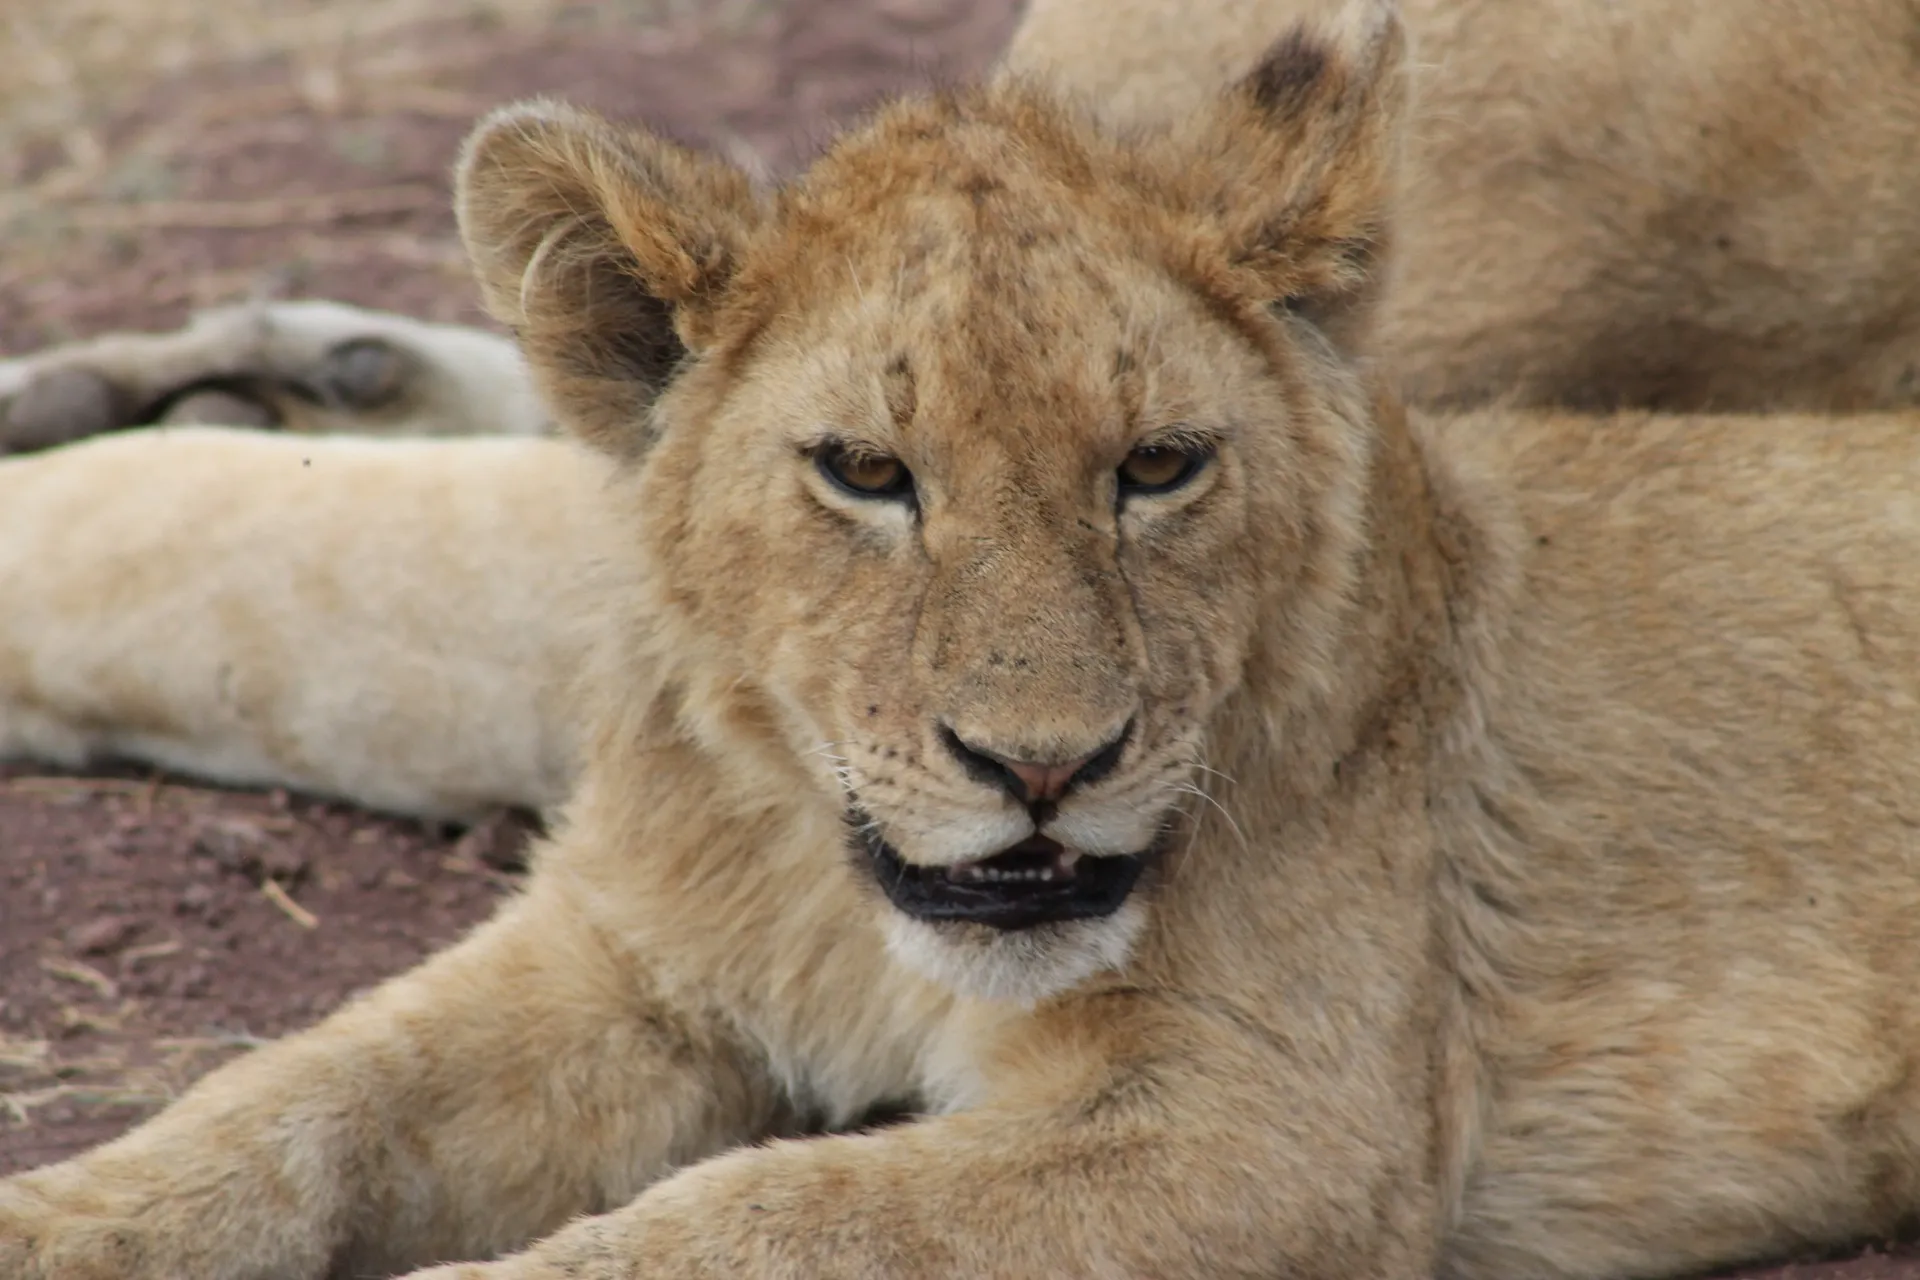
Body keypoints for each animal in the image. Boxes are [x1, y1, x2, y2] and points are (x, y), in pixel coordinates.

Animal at [3, 2, 1920, 1280]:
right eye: (867, 473)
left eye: (1157, 466)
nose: (1043, 767)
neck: (827, 878)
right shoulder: (618, 973)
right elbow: (297, 1101)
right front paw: (57, 1219)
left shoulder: (1276, 1126)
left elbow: (757, 1220)